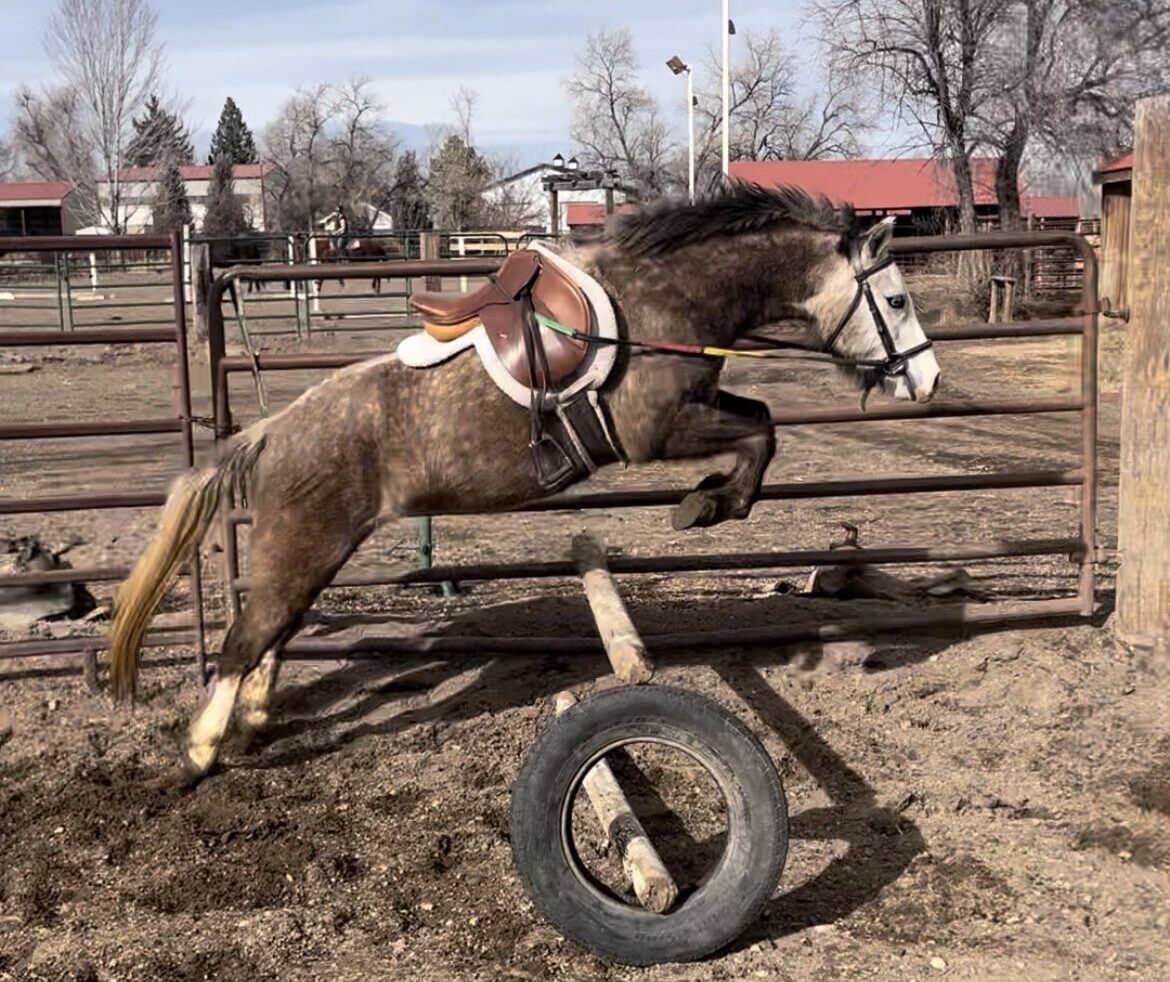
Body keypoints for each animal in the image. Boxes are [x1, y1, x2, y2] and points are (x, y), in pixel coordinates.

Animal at [107, 183, 941, 781]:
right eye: (897, 300)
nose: (929, 381)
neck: (659, 302)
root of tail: (271, 432)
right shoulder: (654, 432)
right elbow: (763, 432)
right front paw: (707, 506)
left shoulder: (693, 409)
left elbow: (762, 421)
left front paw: (709, 502)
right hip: (304, 545)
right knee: (248, 640)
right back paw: (198, 754)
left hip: (311, 551)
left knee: (272, 635)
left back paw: (251, 724)